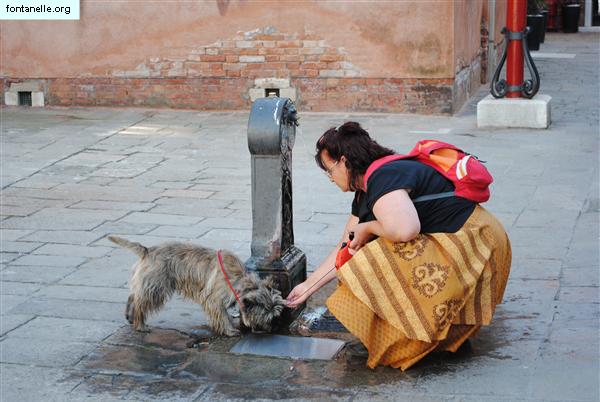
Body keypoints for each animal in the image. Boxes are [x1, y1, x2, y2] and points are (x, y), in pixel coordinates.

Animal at [108, 236, 286, 336]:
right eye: (268, 317)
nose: (271, 328)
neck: (241, 281)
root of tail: (148, 250)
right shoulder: (214, 300)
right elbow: (222, 315)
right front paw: (229, 330)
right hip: (157, 287)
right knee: (140, 303)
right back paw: (140, 325)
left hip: (148, 284)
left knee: (134, 296)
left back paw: (130, 315)